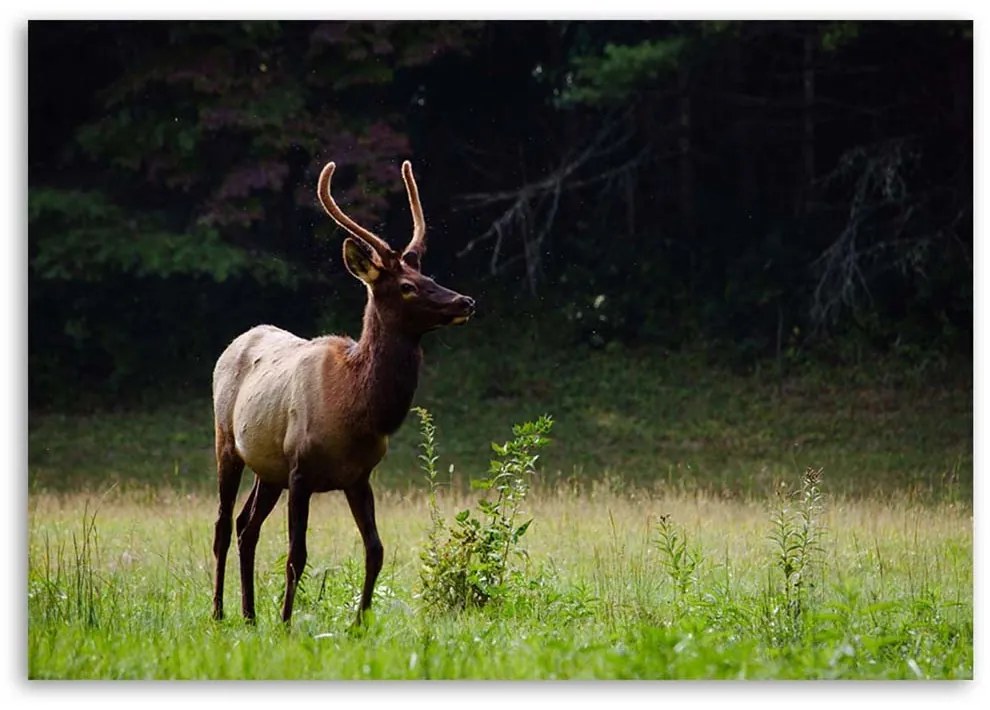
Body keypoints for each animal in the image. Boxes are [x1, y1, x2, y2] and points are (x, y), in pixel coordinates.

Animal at [211, 163, 474, 628]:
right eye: (406, 286)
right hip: (228, 442)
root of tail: (235, 342)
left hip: (268, 469)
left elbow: (376, 550)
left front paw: (360, 622)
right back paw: (221, 611)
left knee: (246, 526)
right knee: (223, 526)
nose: (465, 301)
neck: (356, 411)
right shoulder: (300, 469)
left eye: (429, 277)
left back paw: (250, 614)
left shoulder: (359, 476)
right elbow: (296, 556)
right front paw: (286, 622)